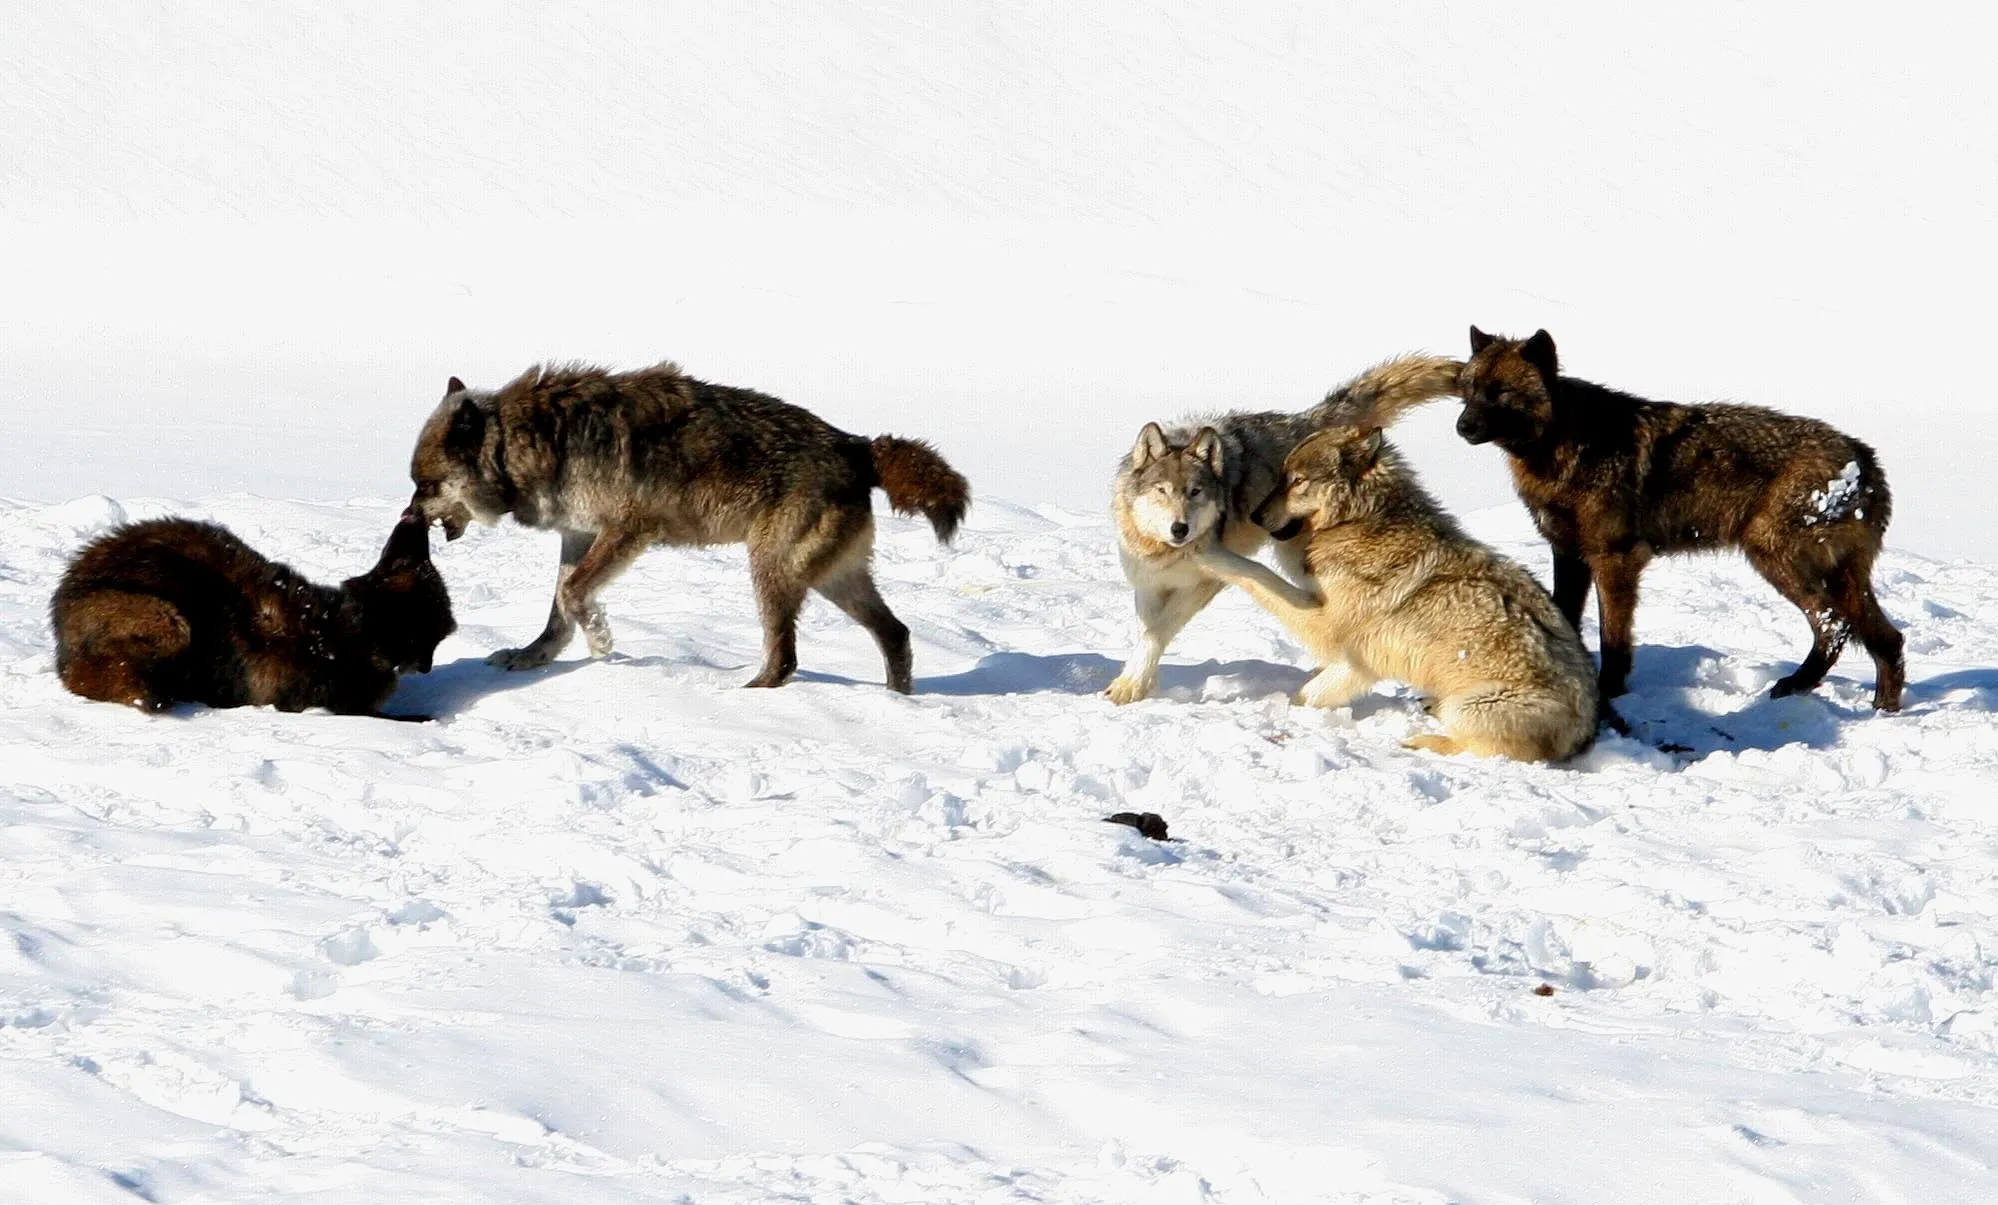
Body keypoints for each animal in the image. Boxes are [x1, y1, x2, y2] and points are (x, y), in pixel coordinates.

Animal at [409, 361, 969, 693]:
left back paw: (746, 697)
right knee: (896, 633)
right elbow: (559, 611)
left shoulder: (627, 529)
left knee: (785, 659)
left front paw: (602, 645)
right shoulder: (579, 534)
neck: (532, 442)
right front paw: (532, 658)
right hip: (830, 579)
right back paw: (897, 702)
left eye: (425, 484)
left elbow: (573, 596)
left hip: (770, 571)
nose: (406, 517)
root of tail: (858, 445)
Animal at [1105, 354, 1463, 703]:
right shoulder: (1148, 584)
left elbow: (1161, 629)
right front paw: (1140, 682)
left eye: (1195, 492)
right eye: (1162, 491)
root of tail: (1315, 419)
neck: (1164, 552)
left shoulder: (1205, 583)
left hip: (1298, 560)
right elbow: (1149, 631)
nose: (1180, 528)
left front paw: (1129, 687)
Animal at [1192, 426, 1601, 762]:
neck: (1361, 522)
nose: (1256, 517)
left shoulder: (1337, 638)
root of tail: (1588, 730)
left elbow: (1259, 579)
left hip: (1470, 708)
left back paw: (1420, 743)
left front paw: (1207, 552)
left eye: (1297, 481)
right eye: (1280, 477)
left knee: (1478, 749)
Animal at [1454, 327, 1904, 711]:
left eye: (1500, 392)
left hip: (1773, 558)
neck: (1563, 447)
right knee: (1889, 640)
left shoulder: (1616, 559)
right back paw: (1881, 710)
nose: (1462, 426)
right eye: (1469, 390)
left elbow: (1613, 641)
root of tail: (1865, 458)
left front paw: (1611, 695)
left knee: (1835, 626)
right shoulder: (1568, 554)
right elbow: (1565, 619)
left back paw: (1794, 686)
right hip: (1838, 578)